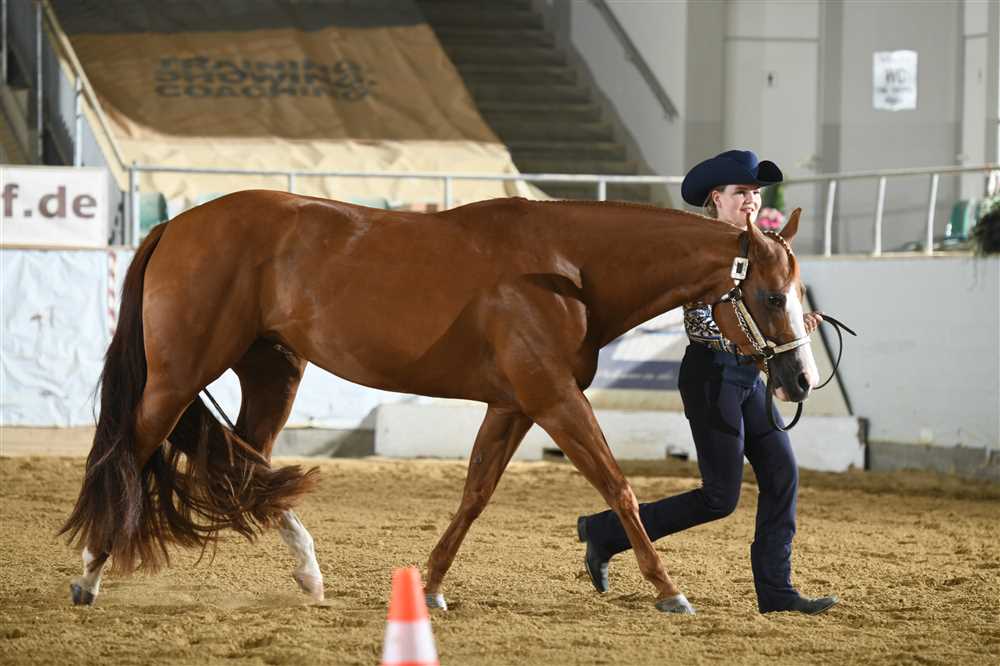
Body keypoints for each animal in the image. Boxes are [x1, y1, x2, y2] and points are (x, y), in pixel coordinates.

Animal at [60, 192, 818, 613]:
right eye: (772, 295)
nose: (800, 380)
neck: (566, 268)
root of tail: (177, 225)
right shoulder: (552, 396)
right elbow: (618, 486)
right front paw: (668, 591)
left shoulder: (514, 405)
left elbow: (475, 494)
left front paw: (427, 587)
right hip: (178, 374)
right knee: (128, 451)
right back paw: (91, 574)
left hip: (272, 372)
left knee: (243, 465)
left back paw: (308, 572)